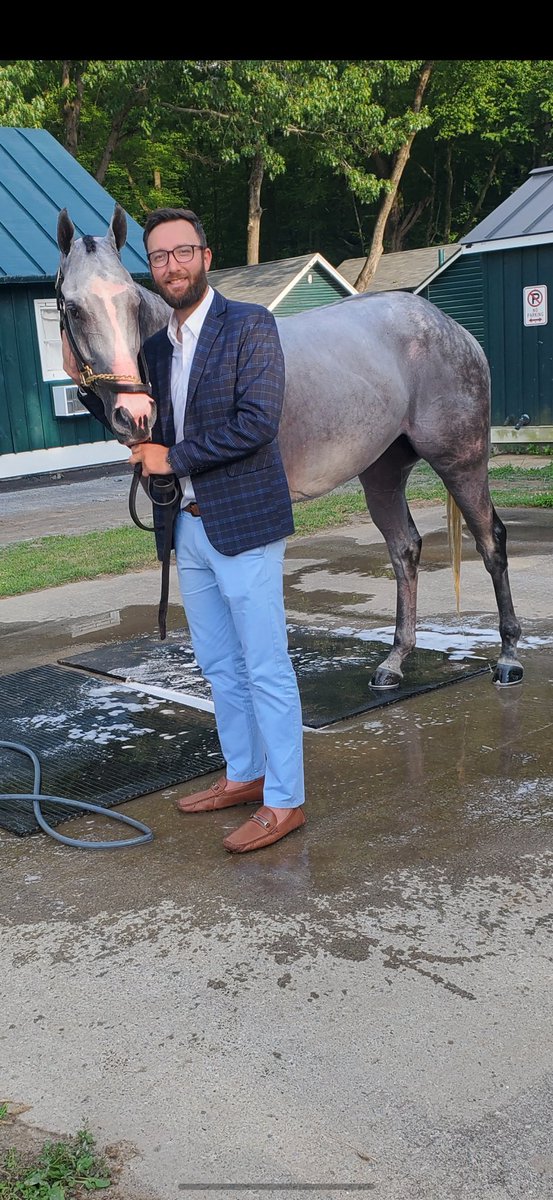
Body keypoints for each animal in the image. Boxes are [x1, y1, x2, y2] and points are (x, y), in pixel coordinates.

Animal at [55, 203, 523, 688]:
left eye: (130, 302)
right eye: (74, 308)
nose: (135, 413)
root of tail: (453, 329)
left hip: (461, 461)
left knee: (491, 541)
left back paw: (508, 655)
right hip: (382, 472)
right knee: (405, 549)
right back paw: (395, 659)